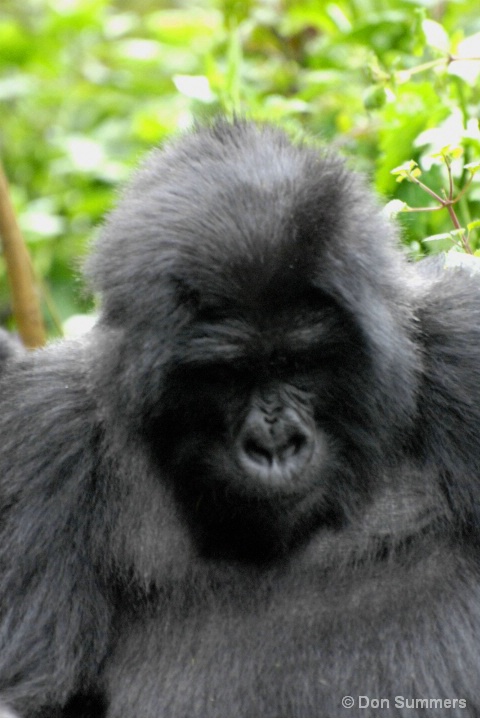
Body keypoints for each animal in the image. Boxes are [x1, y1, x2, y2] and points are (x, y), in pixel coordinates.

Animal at [0, 121, 480, 716]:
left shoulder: (463, 344)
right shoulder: (42, 431)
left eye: (298, 363)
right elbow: (35, 693)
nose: (275, 444)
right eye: (227, 375)